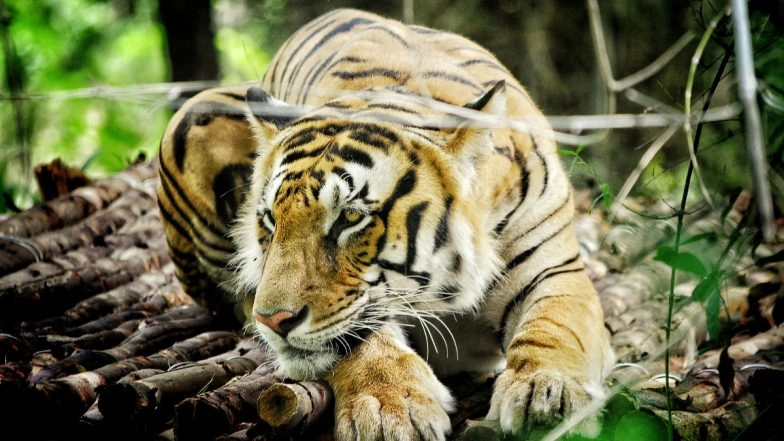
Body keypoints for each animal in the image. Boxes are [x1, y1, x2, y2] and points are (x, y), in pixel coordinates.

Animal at [156, 8, 614, 440]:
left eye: (350, 217)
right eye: (270, 219)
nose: (273, 320)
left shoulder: (556, 271)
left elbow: (556, 326)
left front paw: (548, 395)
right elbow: (359, 340)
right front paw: (387, 410)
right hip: (197, 113)